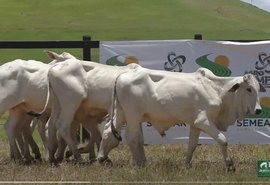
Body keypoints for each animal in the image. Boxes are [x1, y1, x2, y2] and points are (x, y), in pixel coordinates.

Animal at [97, 66, 266, 171]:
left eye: (258, 88)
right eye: (249, 89)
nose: (258, 110)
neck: (217, 89)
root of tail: (122, 75)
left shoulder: (195, 125)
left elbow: (192, 145)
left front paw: (186, 164)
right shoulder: (203, 121)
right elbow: (222, 140)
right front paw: (230, 165)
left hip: (121, 113)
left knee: (108, 132)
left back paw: (101, 157)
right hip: (133, 116)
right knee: (133, 137)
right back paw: (141, 163)